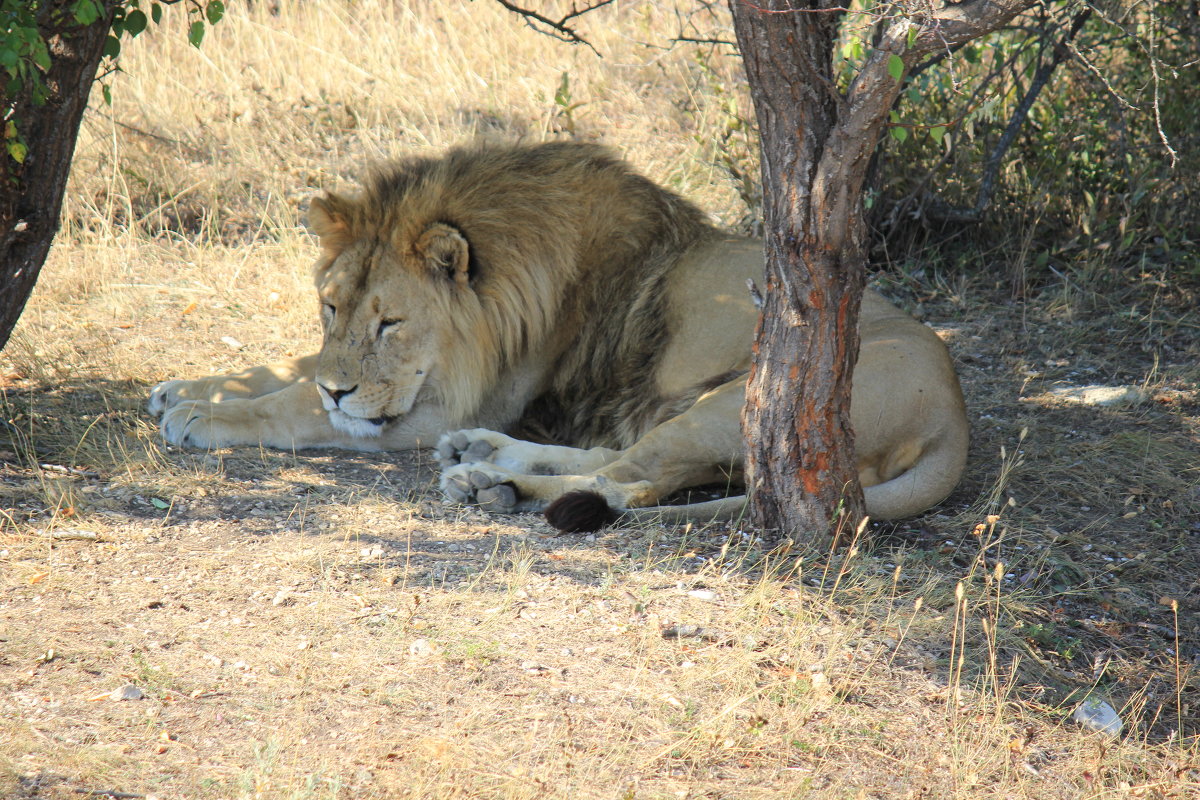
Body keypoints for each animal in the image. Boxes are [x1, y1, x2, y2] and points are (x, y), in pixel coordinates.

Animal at [150, 142, 969, 532]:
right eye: (330, 308)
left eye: (390, 322)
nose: (338, 389)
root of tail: (956, 419)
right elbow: (285, 367)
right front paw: (182, 386)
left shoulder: (439, 403)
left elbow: (293, 407)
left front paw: (202, 415)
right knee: (616, 462)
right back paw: (483, 455)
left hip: (746, 400)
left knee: (625, 484)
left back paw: (489, 483)